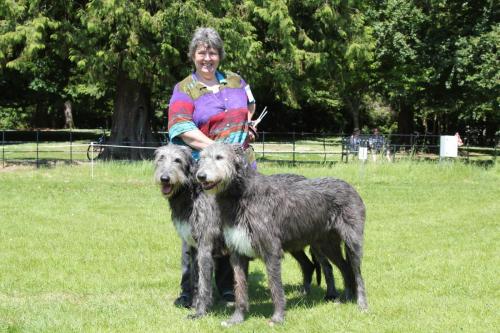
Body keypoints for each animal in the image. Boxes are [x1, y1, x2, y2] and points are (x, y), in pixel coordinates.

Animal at [152, 144, 332, 318]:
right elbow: (195, 279)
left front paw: (200, 311)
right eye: (161, 158)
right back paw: (304, 293)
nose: (164, 178)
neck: (192, 193)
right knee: (308, 265)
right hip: (294, 241)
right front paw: (194, 304)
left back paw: (329, 295)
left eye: (177, 160)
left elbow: (204, 282)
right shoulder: (194, 248)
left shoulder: (205, 247)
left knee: (326, 265)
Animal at [197, 143, 370, 324]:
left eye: (219, 157)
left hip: (352, 242)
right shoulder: (237, 252)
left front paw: (278, 317)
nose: (200, 176)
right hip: (327, 244)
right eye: (202, 158)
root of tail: (349, 186)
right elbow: (240, 287)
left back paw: (362, 304)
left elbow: (275, 286)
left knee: (357, 272)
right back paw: (347, 297)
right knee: (345, 267)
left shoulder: (271, 249)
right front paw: (237, 318)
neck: (241, 194)